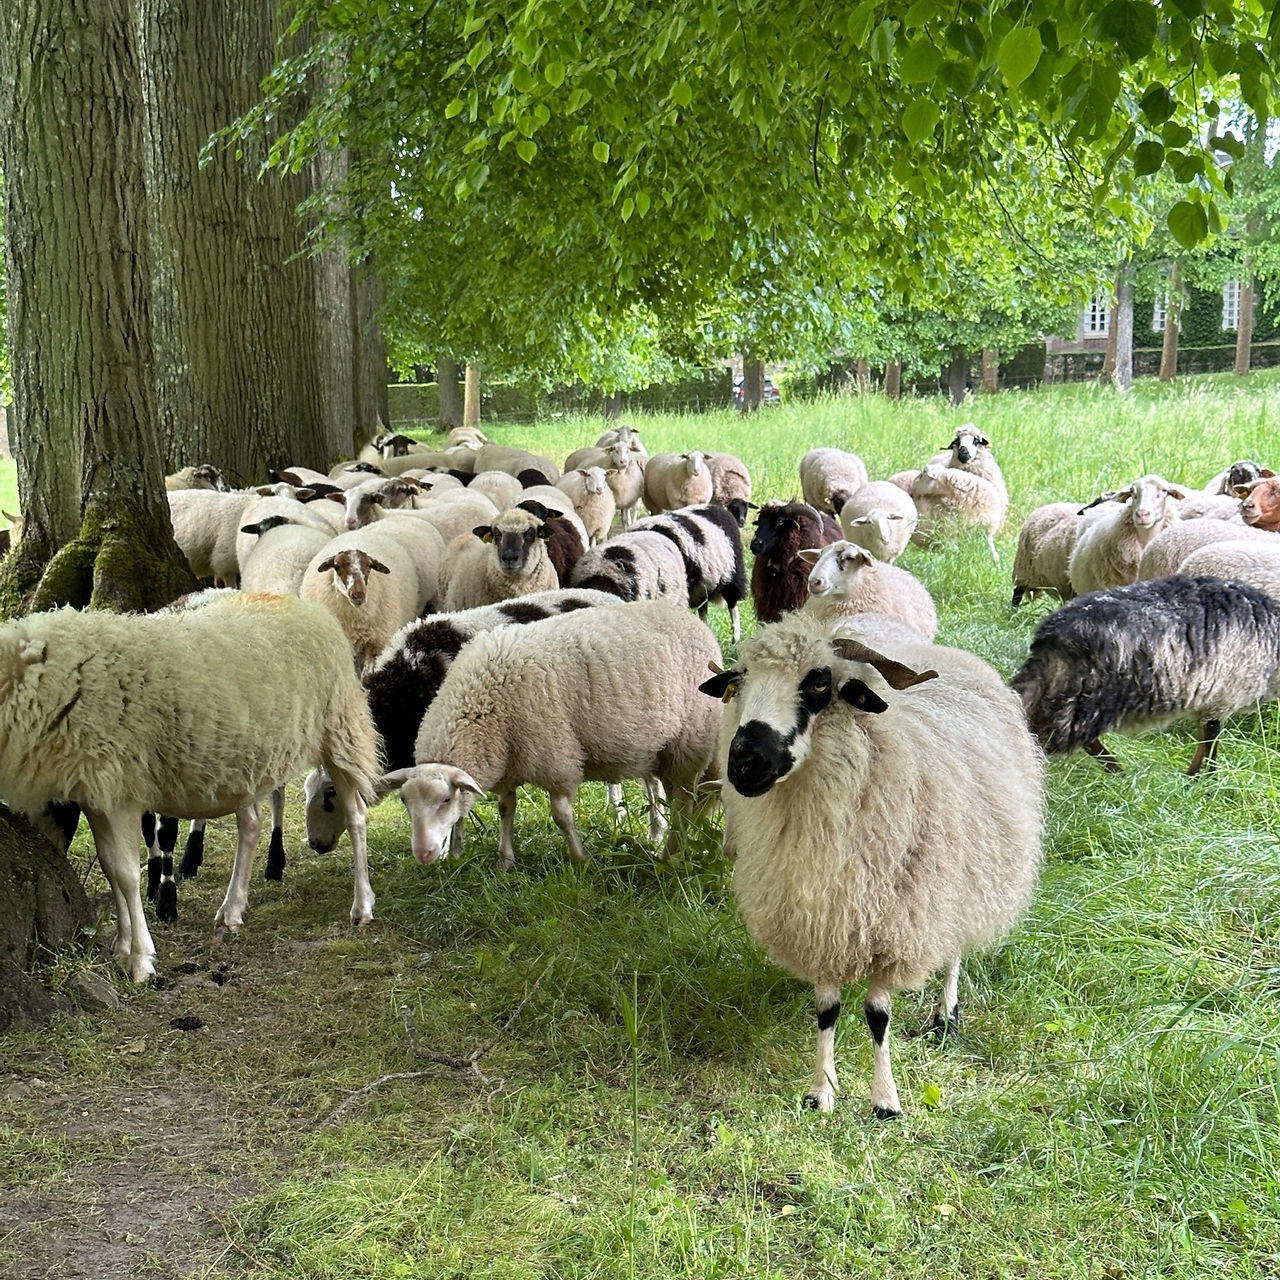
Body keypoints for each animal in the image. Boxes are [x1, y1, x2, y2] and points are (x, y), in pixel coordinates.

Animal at [0, 593, 379, 981]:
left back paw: (362, 905)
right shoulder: (97, 795)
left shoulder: (119, 791)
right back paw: (231, 910)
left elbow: (126, 875)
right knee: (251, 824)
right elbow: (110, 869)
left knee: (356, 815)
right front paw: (122, 947)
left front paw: (141, 959)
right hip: (246, 760)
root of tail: (298, 602)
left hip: (339, 728)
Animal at [382, 601, 722, 868]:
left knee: (683, 805)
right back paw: (665, 842)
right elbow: (506, 809)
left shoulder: (556, 758)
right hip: (659, 751)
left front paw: (580, 860)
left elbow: (561, 815)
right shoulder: (510, 762)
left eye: (444, 799)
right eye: (404, 801)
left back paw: (669, 857)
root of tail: (691, 619)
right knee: (671, 797)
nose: (423, 854)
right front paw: (505, 860)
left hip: (687, 745)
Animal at [630, 504, 748, 641]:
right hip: (702, 585)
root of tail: (714, 507)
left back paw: (736, 637)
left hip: (731, 574)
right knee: (703, 609)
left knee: (732, 604)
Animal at [700, 610, 1043, 1114]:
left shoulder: (897, 928)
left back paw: (946, 1017)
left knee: (954, 951)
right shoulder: (822, 923)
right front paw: (821, 1090)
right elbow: (827, 1010)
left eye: (819, 683)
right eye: (739, 680)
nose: (744, 764)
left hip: (958, 880)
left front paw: (885, 1099)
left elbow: (877, 1015)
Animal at [1011, 574, 1280, 774]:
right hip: (1087, 700)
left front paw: (1191, 777)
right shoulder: (1221, 701)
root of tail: (1053, 637)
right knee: (1048, 735)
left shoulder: (1208, 701)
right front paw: (1205, 781)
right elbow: (1210, 745)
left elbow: (1204, 743)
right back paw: (1116, 771)